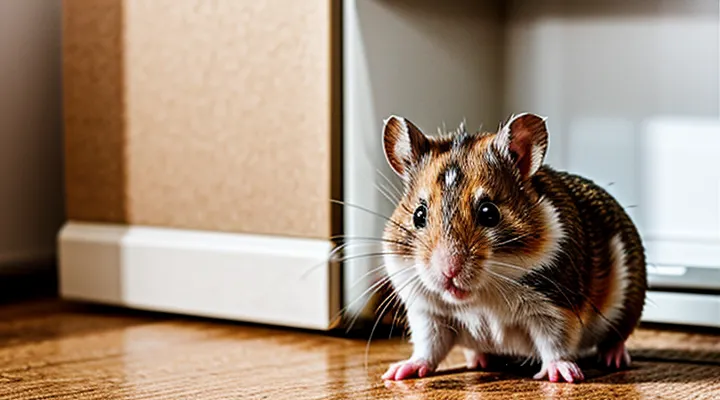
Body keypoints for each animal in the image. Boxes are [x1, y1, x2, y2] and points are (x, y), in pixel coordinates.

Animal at [379, 113, 647, 383]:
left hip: (628, 305)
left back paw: (614, 359)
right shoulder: (428, 313)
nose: (449, 272)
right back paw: (478, 360)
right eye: (418, 215)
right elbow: (428, 348)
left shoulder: (555, 308)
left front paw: (564, 376)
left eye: (489, 212)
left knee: (616, 338)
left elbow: (555, 344)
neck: (482, 294)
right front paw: (396, 373)